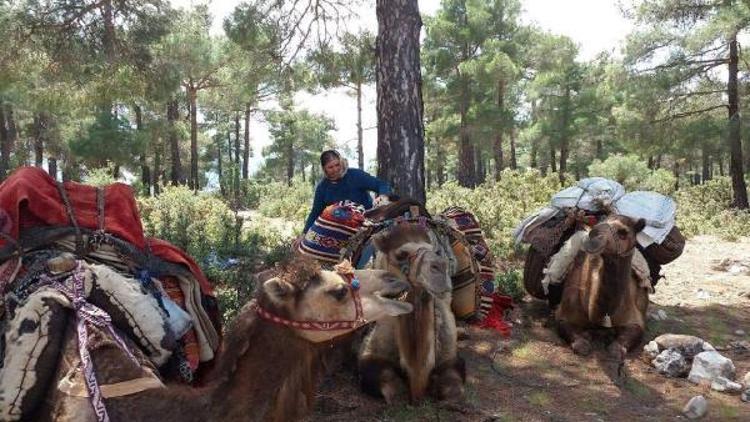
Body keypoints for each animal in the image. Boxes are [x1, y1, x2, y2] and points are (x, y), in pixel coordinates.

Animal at [356, 223, 464, 404]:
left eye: (435, 251)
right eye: (401, 254)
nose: (440, 267)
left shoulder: (449, 356)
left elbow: (454, 388)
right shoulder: (369, 354)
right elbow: (387, 386)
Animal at [560, 216, 652, 362]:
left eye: (623, 232)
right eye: (597, 224)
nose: (593, 238)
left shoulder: (635, 319)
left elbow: (623, 342)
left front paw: (615, 348)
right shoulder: (565, 311)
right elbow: (575, 337)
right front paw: (584, 341)